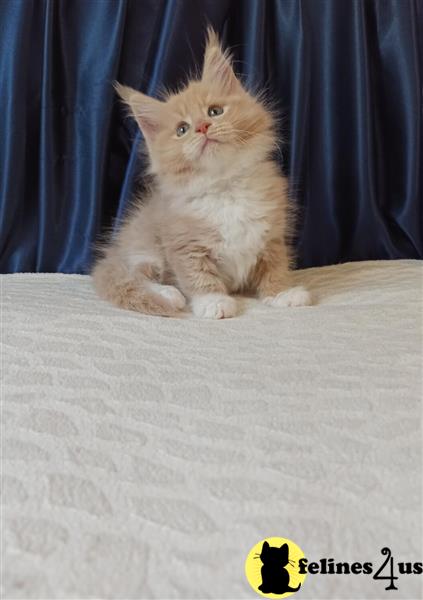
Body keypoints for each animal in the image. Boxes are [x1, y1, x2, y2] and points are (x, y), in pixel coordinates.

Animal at [93, 29, 312, 318]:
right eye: (182, 129)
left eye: (215, 111)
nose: (202, 127)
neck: (225, 187)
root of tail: (114, 253)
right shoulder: (184, 243)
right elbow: (197, 275)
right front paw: (213, 301)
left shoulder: (271, 235)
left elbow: (275, 267)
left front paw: (281, 292)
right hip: (145, 246)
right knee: (136, 274)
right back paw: (168, 294)